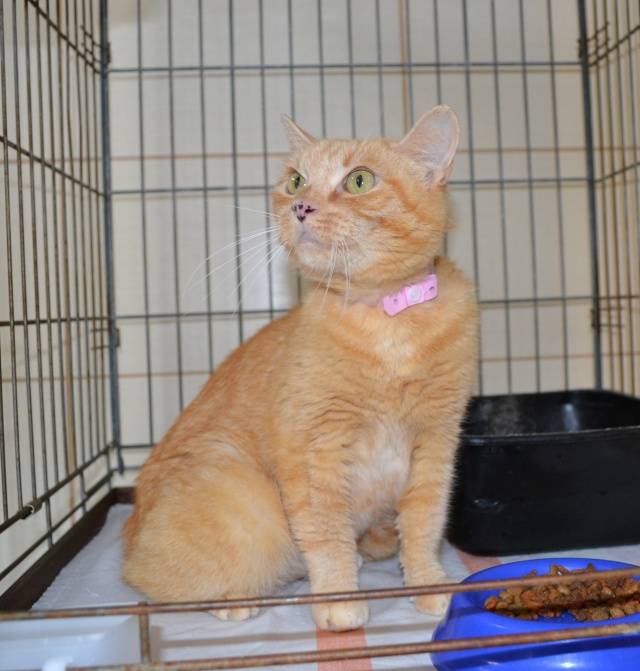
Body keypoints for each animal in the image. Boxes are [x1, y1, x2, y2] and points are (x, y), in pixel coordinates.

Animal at [121, 105, 479, 632]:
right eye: (296, 181)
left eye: (359, 180)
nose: (301, 207)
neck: (386, 321)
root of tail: (127, 533)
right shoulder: (314, 448)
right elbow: (326, 533)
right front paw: (338, 602)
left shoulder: (435, 443)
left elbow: (424, 522)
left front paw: (427, 583)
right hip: (244, 500)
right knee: (156, 584)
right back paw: (233, 600)